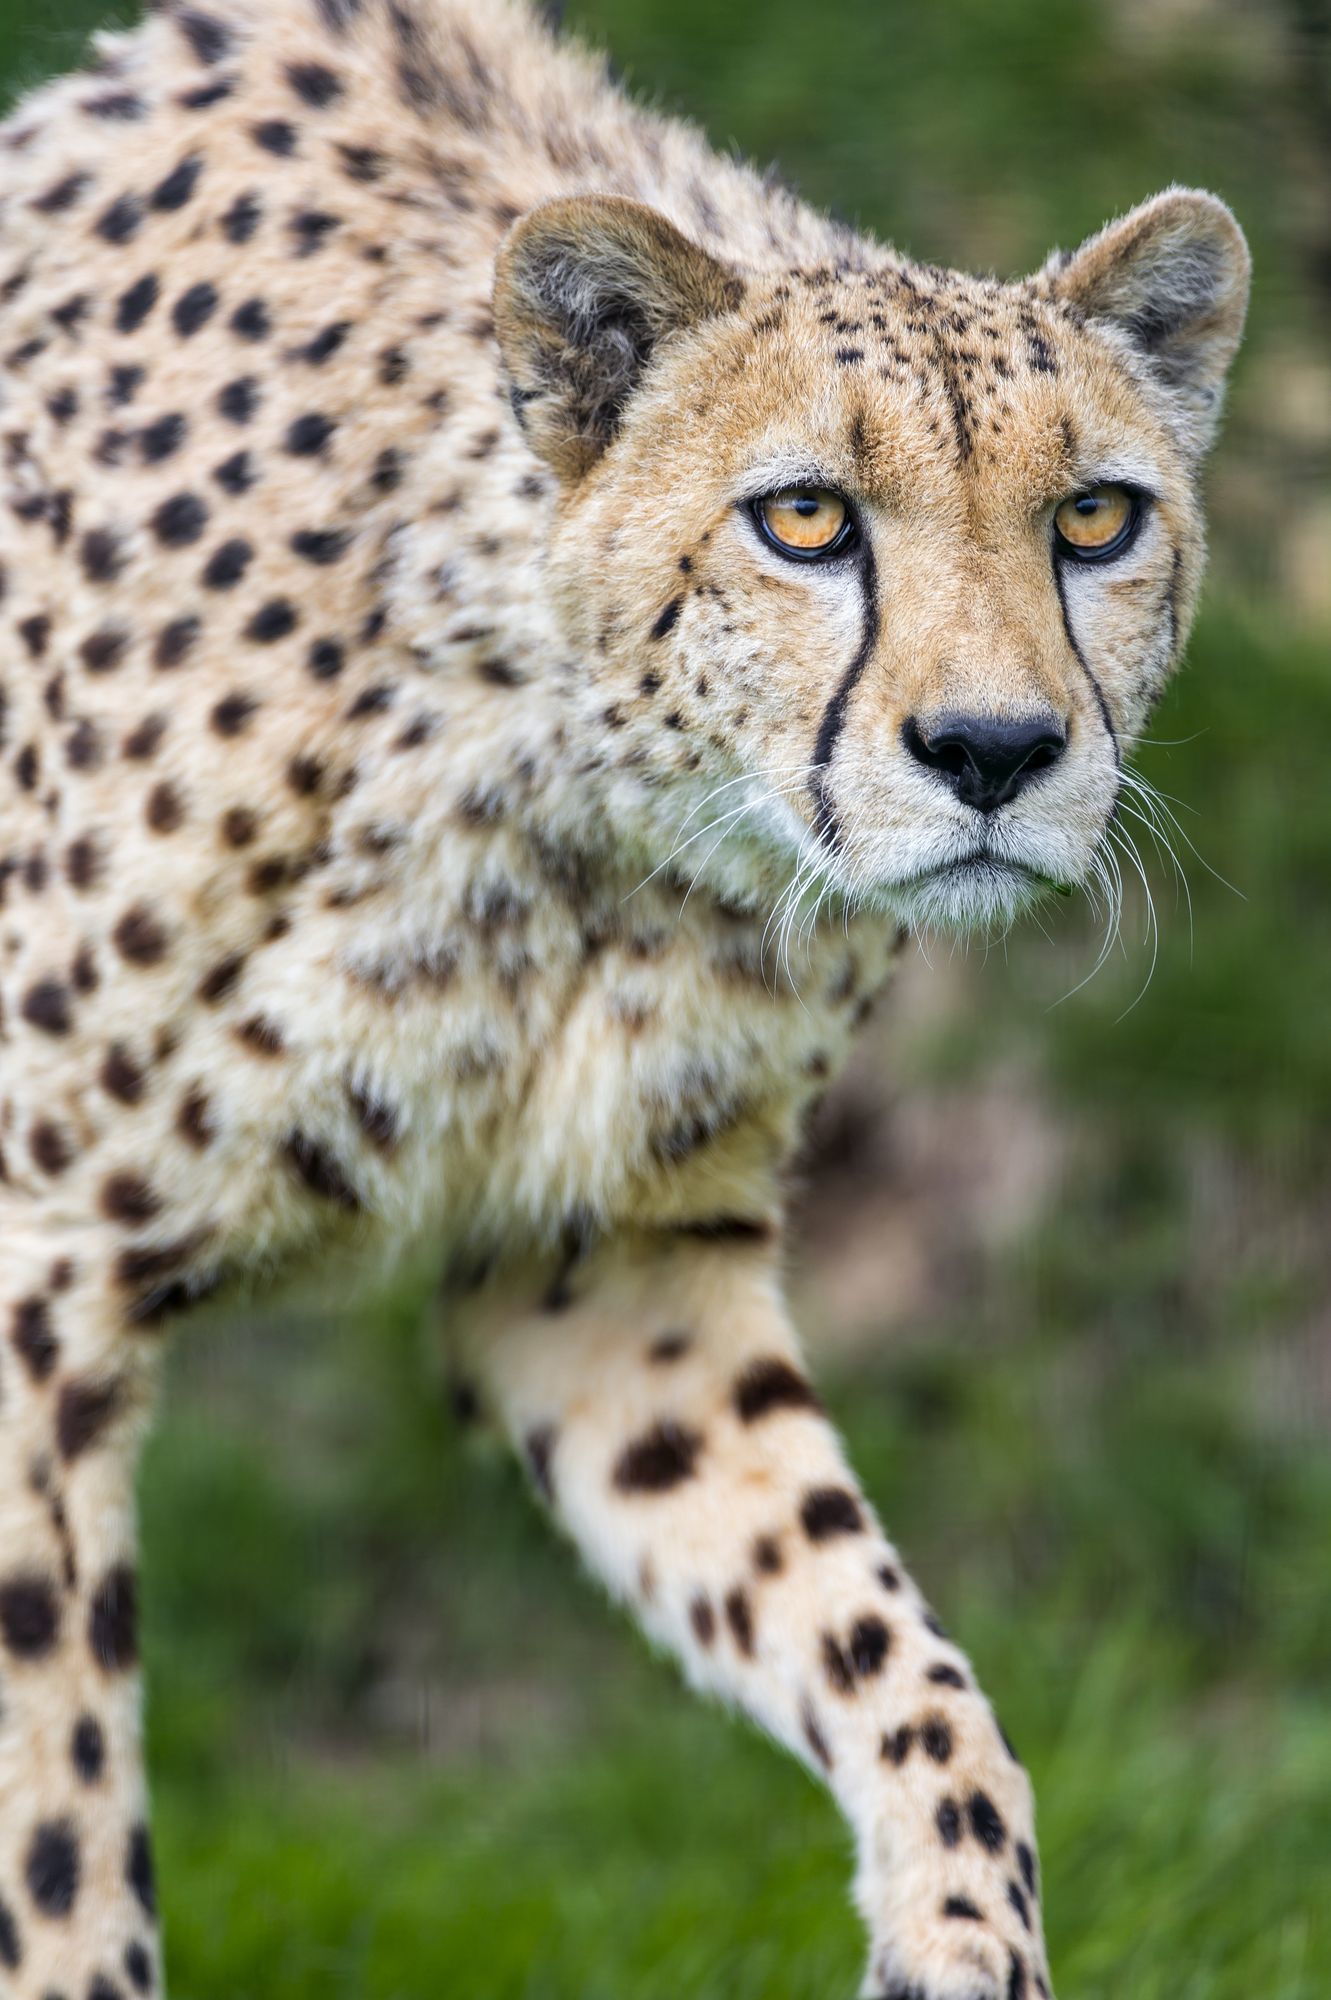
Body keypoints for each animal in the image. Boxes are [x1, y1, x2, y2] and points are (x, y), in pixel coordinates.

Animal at [0, 0, 1247, 1992]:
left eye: (1094, 517)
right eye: (804, 518)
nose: (993, 753)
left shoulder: (607, 1271)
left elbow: (896, 1657)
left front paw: (959, 1926)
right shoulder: (39, 1281)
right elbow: (60, 1834)